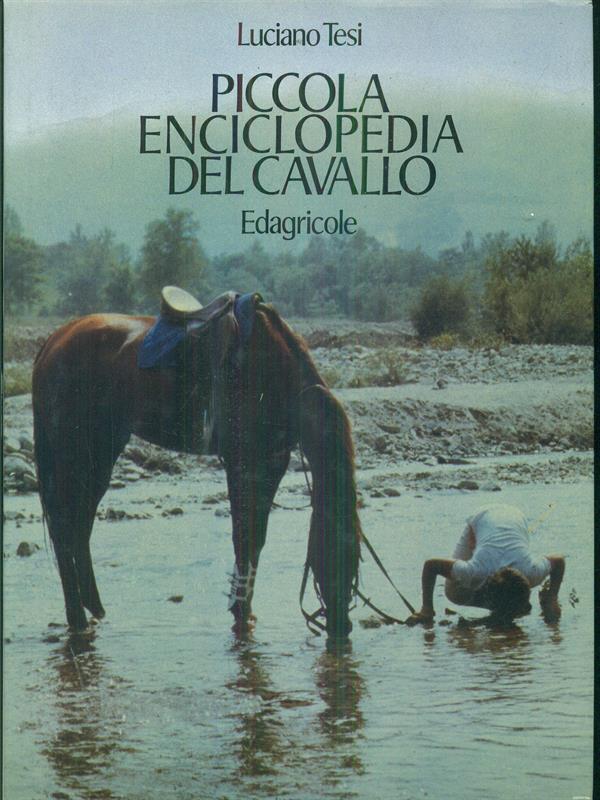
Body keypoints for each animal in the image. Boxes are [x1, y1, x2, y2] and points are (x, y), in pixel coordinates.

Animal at [32, 292, 362, 639]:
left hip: (100, 456)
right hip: (73, 455)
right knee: (64, 528)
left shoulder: (271, 461)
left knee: (80, 528)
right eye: (337, 552)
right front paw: (240, 612)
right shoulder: (243, 462)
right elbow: (243, 537)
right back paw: (77, 620)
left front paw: (244, 611)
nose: (342, 626)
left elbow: (255, 539)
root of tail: (54, 341)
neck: (273, 367)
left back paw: (95, 611)